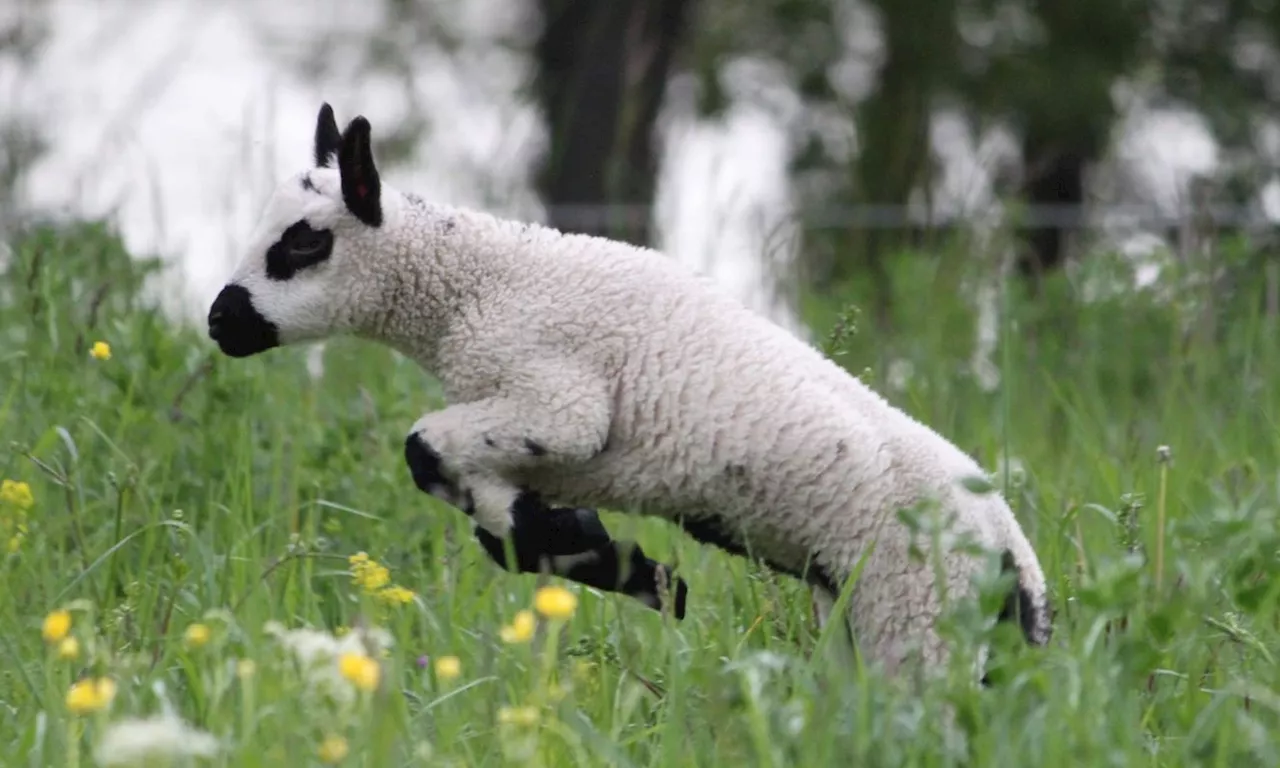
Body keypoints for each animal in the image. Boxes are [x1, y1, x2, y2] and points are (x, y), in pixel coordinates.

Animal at [207, 103, 1049, 675]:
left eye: (303, 243)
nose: (220, 321)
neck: (472, 288)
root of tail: (1019, 567)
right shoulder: (544, 444)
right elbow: (489, 518)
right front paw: (606, 558)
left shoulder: (562, 405)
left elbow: (427, 449)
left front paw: (625, 567)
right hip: (871, 615)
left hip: (918, 617)